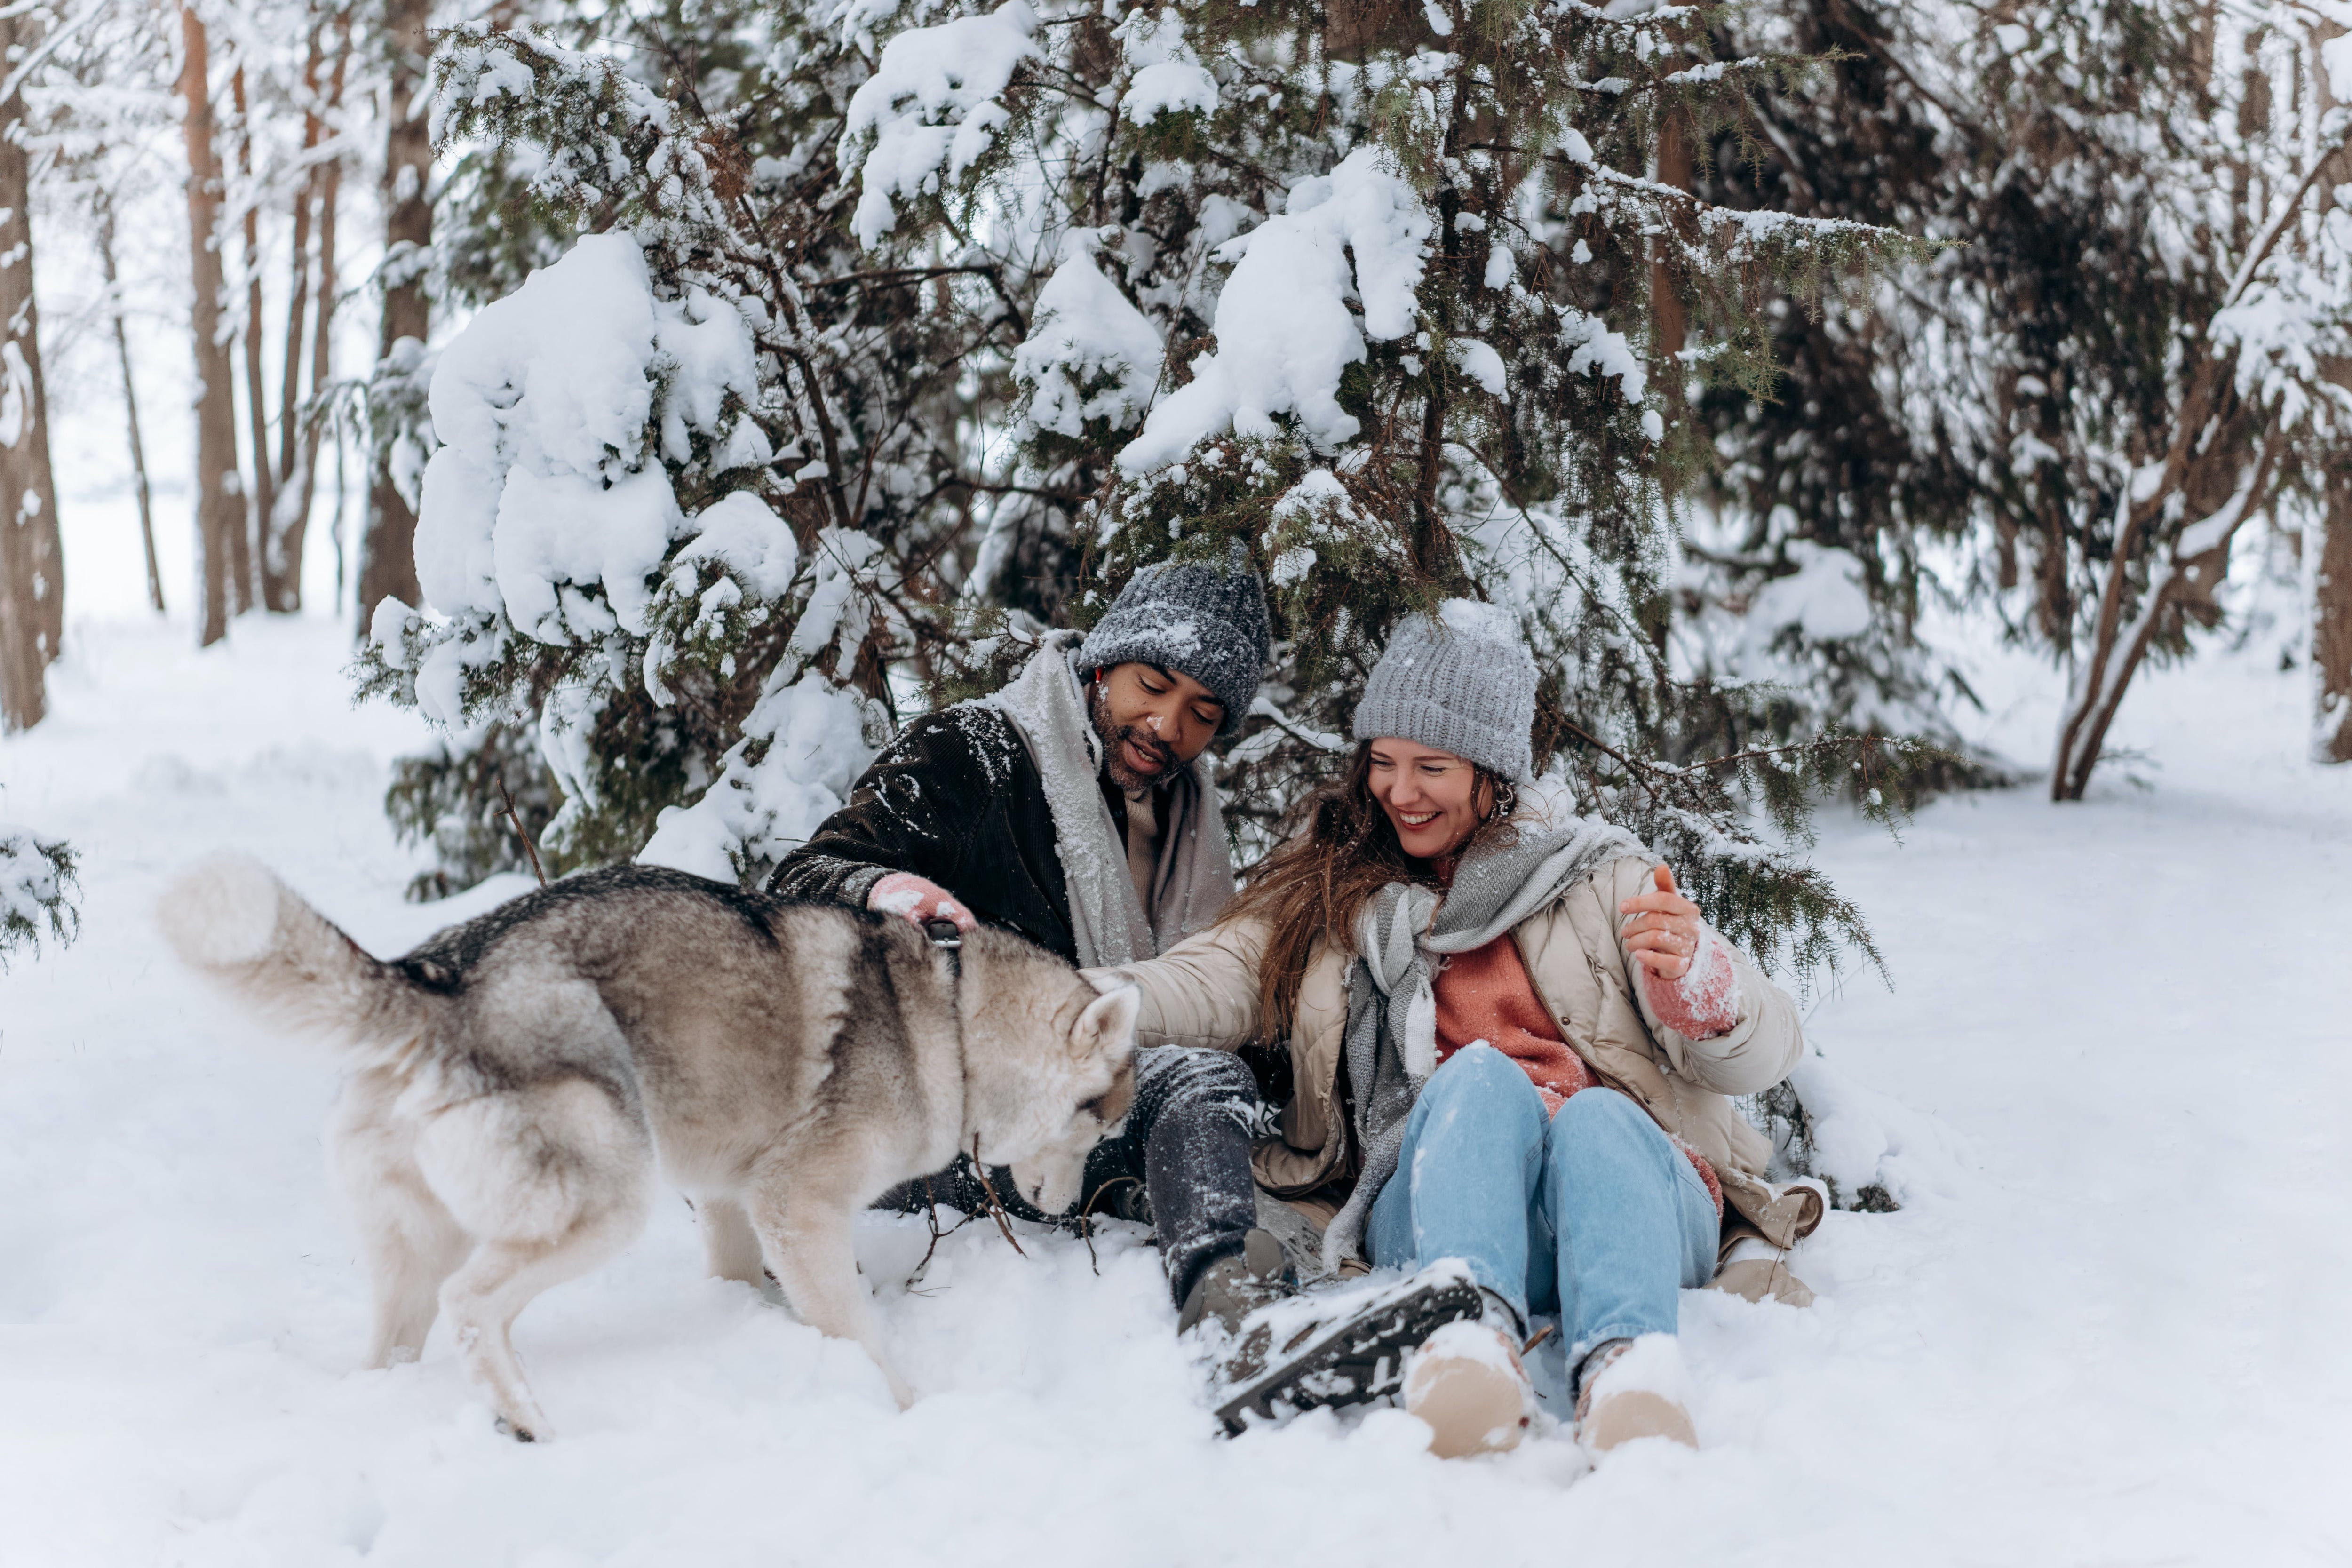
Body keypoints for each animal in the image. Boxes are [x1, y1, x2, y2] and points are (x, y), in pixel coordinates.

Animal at [157, 856, 1138, 1439]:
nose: (1069, 1210)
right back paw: (526, 1420)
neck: (953, 1018)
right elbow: (861, 1336)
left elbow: (742, 1279)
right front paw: (909, 1411)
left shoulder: (735, 1202)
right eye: (1100, 1126)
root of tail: (438, 976)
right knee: (471, 1303)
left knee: (406, 1335)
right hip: (607, 1203)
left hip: (419, 1249)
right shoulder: (797, 1205)